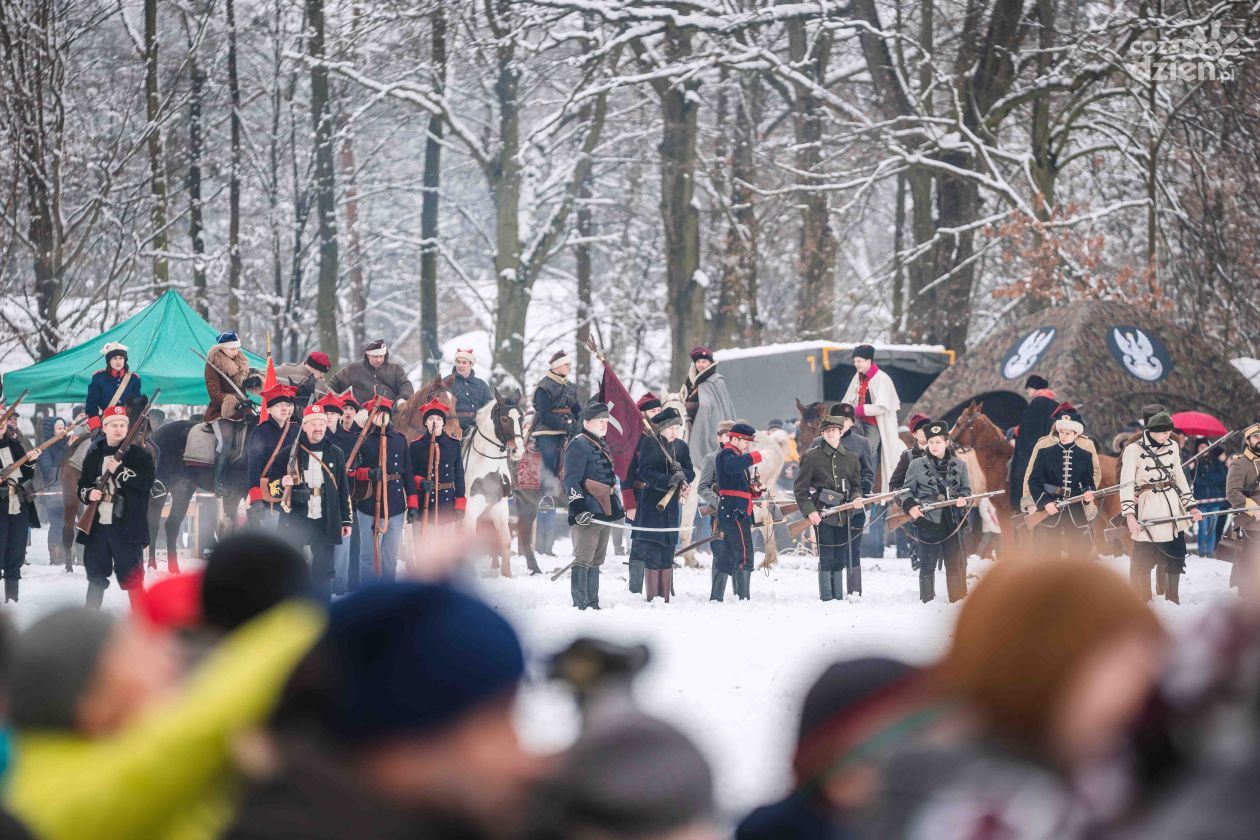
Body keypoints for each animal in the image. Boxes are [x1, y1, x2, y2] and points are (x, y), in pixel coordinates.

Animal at [463, 397, 521, 574]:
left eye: (521, 417)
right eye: (504, 419)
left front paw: (506, 574)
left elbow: (505, 540)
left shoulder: (499, 507)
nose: (518, 450)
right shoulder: (470, 510)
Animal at [660, 390, 786, 569]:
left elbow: (685, 528)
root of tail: (775, 446)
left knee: (763, 519)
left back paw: (765, 560)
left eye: (684, 415)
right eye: (664, 412)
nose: (673, 437)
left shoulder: (691, 496)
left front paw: (691, 561)